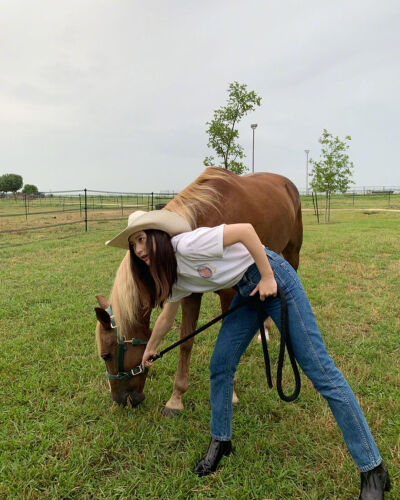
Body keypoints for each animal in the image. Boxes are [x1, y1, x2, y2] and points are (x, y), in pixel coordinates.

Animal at [96, 168, 304, 414]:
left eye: (106, 355)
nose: (120, 400)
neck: (200, 219)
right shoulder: (190, 295)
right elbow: (186, 342)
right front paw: (176, 398)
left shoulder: (229, 293)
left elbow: (227, 344)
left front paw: (232, 394)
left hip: (292, 252)